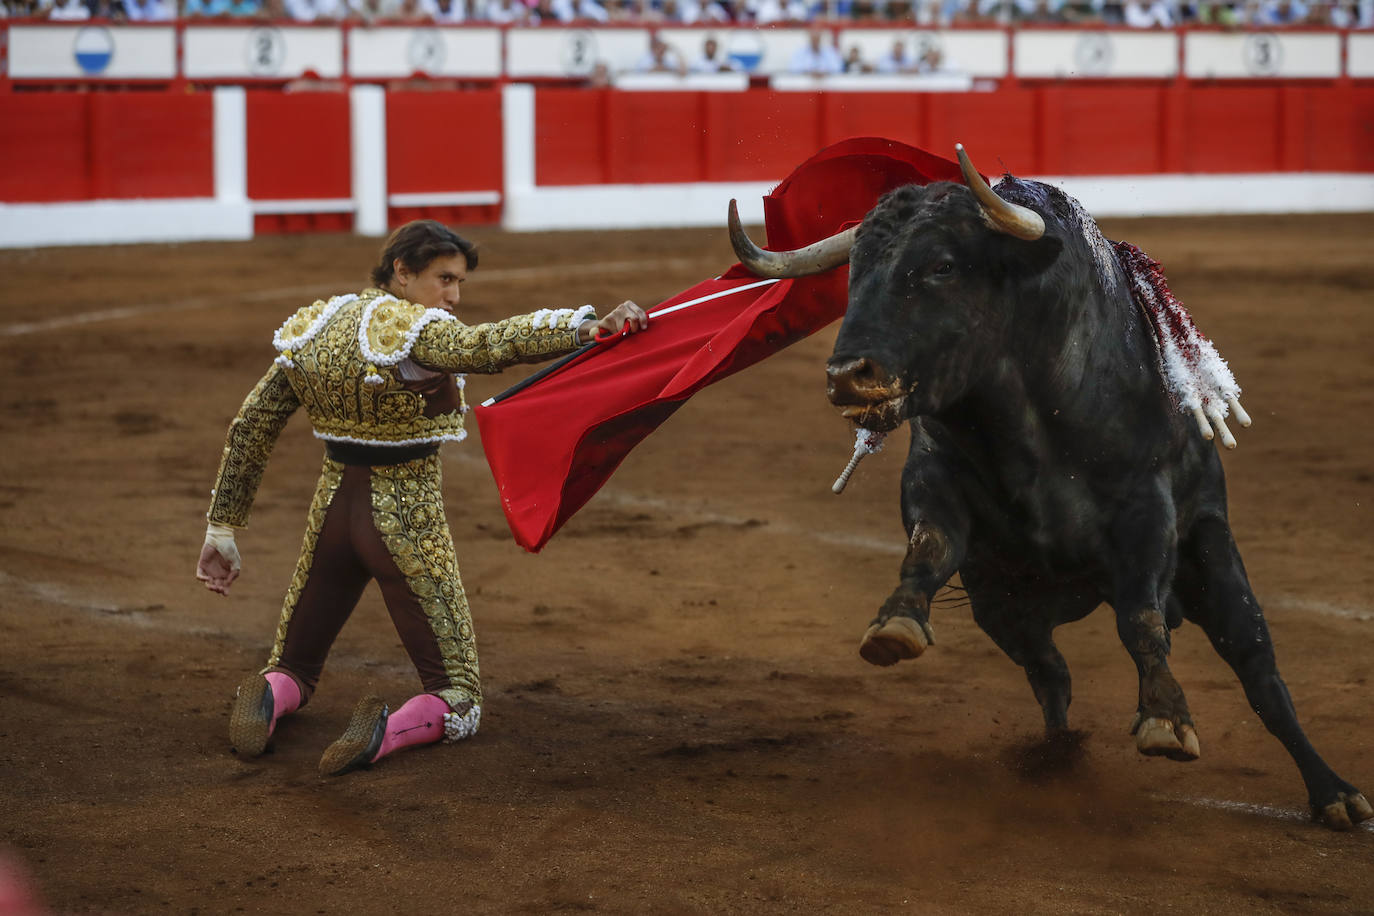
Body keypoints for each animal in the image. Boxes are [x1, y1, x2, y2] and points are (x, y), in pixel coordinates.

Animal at [725, 143, 1368, 829]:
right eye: (854, 272)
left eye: (943, 265)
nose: (850, 375)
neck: (1022, 411)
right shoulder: (937, 482)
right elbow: (927, 552)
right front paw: (895, 625)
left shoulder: (1146, 508)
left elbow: (1142, 619)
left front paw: (1166, 719)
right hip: (1002, 603)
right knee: (1050, 672)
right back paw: (1057, 760)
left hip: (1213, 559)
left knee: (1260, 673)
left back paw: (1335, 795)